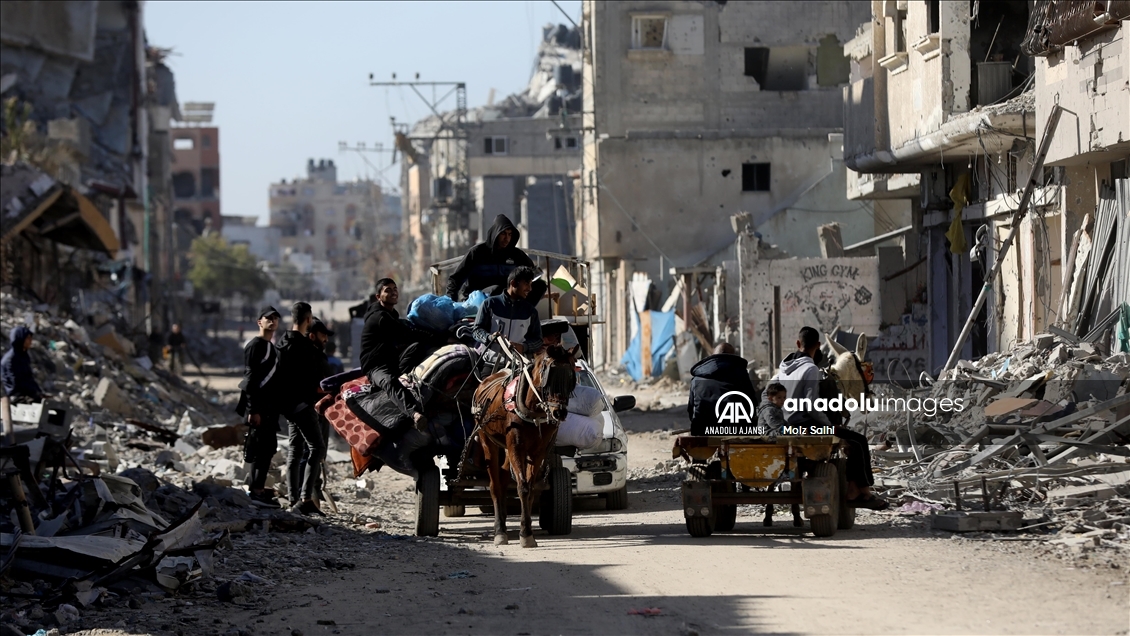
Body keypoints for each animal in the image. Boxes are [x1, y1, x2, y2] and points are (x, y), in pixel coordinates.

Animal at [472, 343, 578, 546]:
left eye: (571, 377)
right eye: (549, 375)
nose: (559, 413)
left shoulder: (538, 452)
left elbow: (531, 488)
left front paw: (526, 532)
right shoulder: (516, 447)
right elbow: (522, 487)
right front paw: (524, 534)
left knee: (504, 479)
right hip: (487, 440)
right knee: (495, 486)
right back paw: (500, 531)